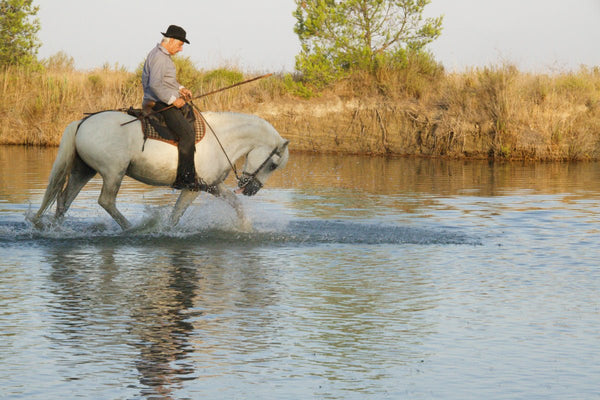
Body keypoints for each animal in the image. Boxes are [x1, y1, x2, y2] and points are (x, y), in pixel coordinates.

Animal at [30, 110, 288, 231]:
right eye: (273, 165)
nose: (252, 190)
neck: (222, 138)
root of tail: (83, 123)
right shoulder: (193, 189)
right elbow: (175, 216)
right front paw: (164, 231)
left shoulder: (212, 186)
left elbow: (236, 204)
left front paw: (246, 228)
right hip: (113, 172)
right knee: (106, 201)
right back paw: (131, 229)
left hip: (83, 171)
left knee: (64, 200)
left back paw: (56, 229)